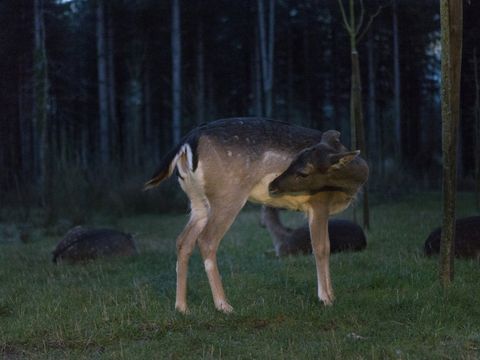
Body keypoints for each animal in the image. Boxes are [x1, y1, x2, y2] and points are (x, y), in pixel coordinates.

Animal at [144, 117, 370, 312]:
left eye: (302, 168)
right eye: (295, 164)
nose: (273, 185)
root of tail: (186, 143)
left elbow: (328, 246)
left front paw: (332, 295)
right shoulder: (318, 202)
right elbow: (321, 248)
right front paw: (326, 299)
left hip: (198, 202)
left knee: (183, 241)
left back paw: (182, 307)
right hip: (228, 195)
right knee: (207, 240)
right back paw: (224, 305)